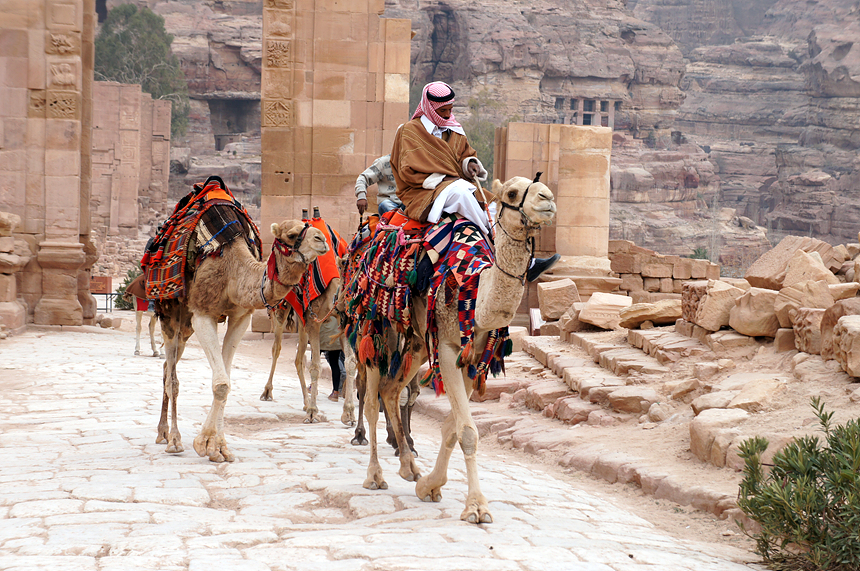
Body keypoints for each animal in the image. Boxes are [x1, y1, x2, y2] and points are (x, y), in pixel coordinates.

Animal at [155, 217, 330, 462]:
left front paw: (217, 446)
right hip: (171, 313)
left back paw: (162, 432)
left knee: (166, 367)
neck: (233, 271)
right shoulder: (203, 312)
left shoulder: (240, 317)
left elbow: (225, 381)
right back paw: (173, 440)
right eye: (292, 235)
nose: (321, 239)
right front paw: (205, 443)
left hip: (186, 324)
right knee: (172, 377)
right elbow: (221, 384)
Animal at [350, 177, 556, 524]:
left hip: (418, 341)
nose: (548, 199)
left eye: (539, 186)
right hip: (376, 323)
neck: (474, 285)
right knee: (371, 397)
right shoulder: (446, 346)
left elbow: (452, 428)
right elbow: (468, 432)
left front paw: (430, 486)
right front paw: (476, 507)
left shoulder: (475, 356)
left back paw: (409, 467)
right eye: (512, 193)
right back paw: (374, 475)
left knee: (391, 390)